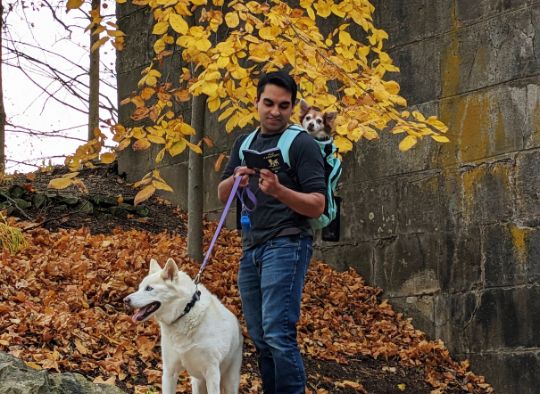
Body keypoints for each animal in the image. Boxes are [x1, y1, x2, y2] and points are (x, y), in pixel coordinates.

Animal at [124, 258, 243, 394]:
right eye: (139, 288)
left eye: (149, 288)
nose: (125, 300)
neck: (185, 312)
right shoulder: (169, 371)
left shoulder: (212, 373)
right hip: (197, 382)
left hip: (229, 382)